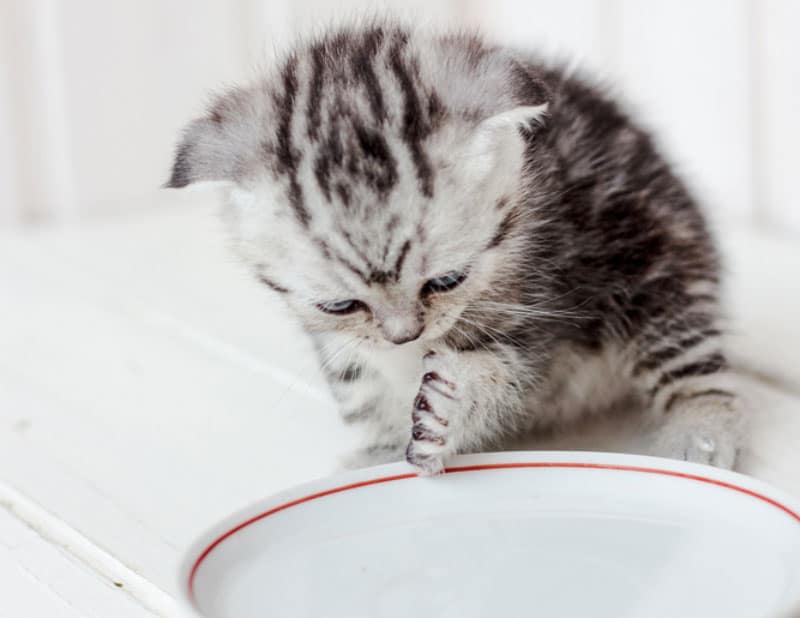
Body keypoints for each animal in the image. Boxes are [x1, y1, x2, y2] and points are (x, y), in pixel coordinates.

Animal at [167, 19, 744, 472]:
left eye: (446, 280)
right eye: (341, 304)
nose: (404, 335)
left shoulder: (550, 288)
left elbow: (510, 372)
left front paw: (451, 406)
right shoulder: (334, 336)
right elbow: (358, 381)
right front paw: (379, 453)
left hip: (646, 250)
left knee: (681, 341)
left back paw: (702, 430)